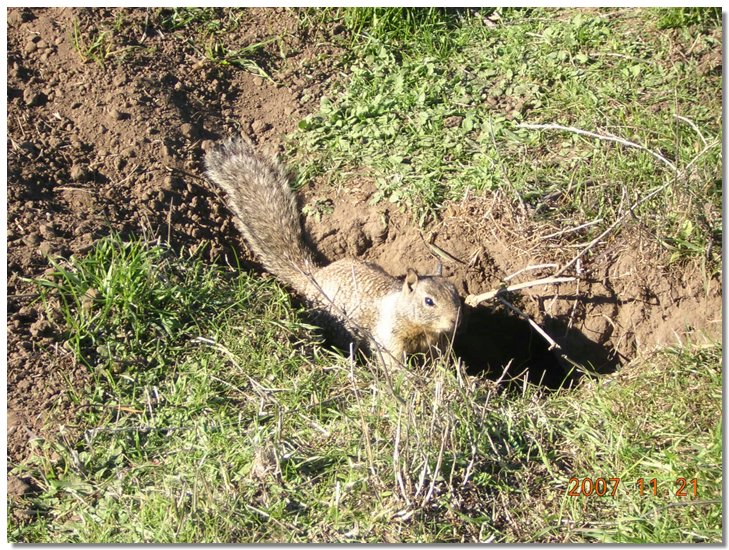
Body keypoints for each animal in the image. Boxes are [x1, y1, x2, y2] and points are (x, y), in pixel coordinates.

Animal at [203, 137, 460, 368]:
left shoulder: (437, 343)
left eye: (456, 293)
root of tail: (314, 276)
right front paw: (409, 379)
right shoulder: (389, 338)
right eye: (428, 301)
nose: (454, 320)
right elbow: (392, 361)